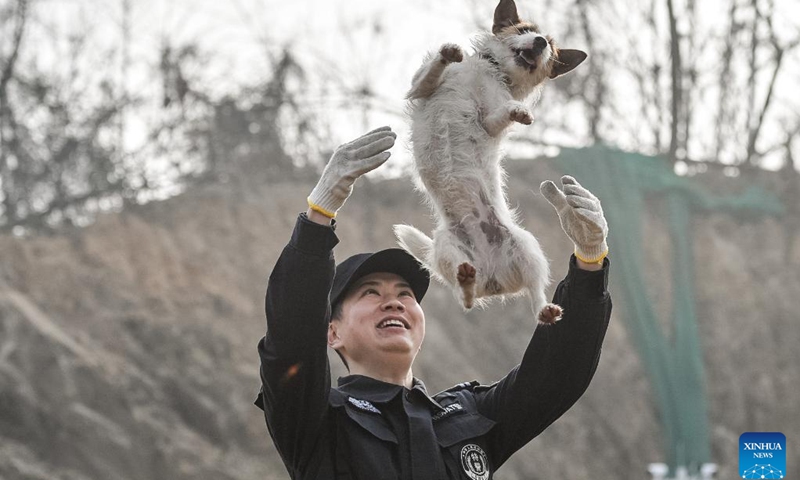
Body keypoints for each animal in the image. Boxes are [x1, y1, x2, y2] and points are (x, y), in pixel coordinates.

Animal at [396, 0, 588, 322]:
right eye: (524, 31)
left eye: (550, 47)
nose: (539, 42)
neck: (492, 69)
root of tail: (492, 281)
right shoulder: (419, 87)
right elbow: (429, 75)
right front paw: (448, 53)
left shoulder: (489, 119)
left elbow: (499, 114)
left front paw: (518, 111)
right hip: (447, 246)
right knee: (464, 297)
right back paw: (466, 283)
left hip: (527, 248)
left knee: (533, 292)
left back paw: (544, 309)